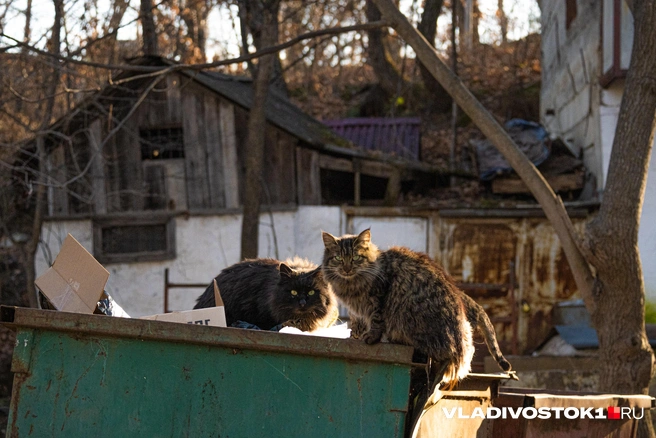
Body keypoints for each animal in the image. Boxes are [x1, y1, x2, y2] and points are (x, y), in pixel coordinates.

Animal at [322, 229, 512, 386]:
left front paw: (370, 337)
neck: (351, 284)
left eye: (356, 258)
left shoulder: (379, 297)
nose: (347, 268)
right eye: (338, 259)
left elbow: (376, 320)